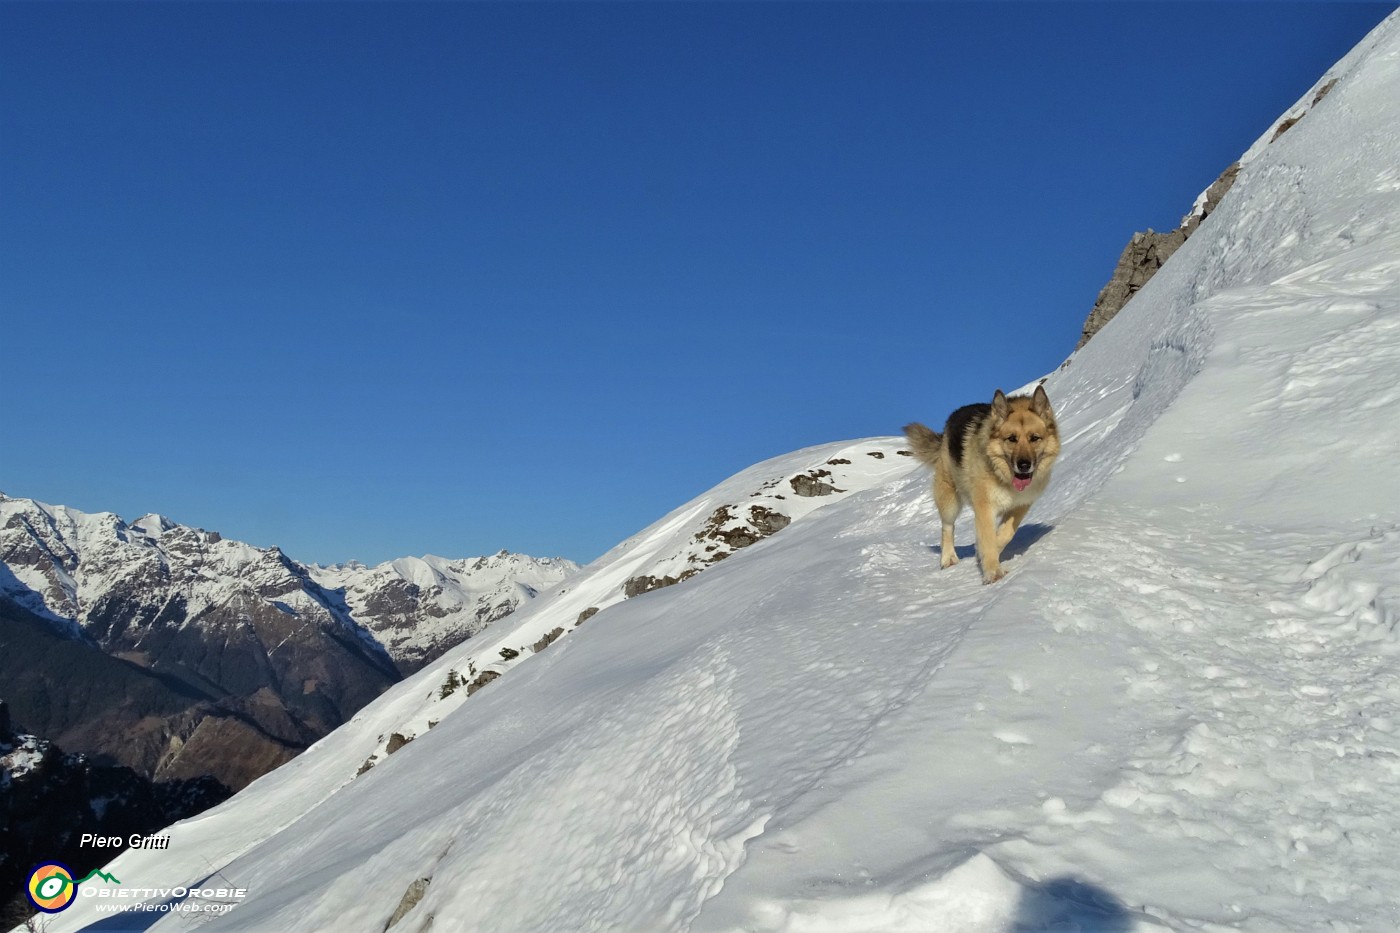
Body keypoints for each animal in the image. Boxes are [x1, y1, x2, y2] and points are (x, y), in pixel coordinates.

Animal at [907, 381, 1058, 582]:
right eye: (1011, 439)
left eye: (1034, 438)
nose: (1024, 465)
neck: (1004, 476)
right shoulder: (985, 507)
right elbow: (987, 539)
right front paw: (993, 572)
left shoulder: (1020, 505)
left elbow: (1004, 535)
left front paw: (985, 554)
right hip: (949, 500)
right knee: (947, 528)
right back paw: (948, 558)